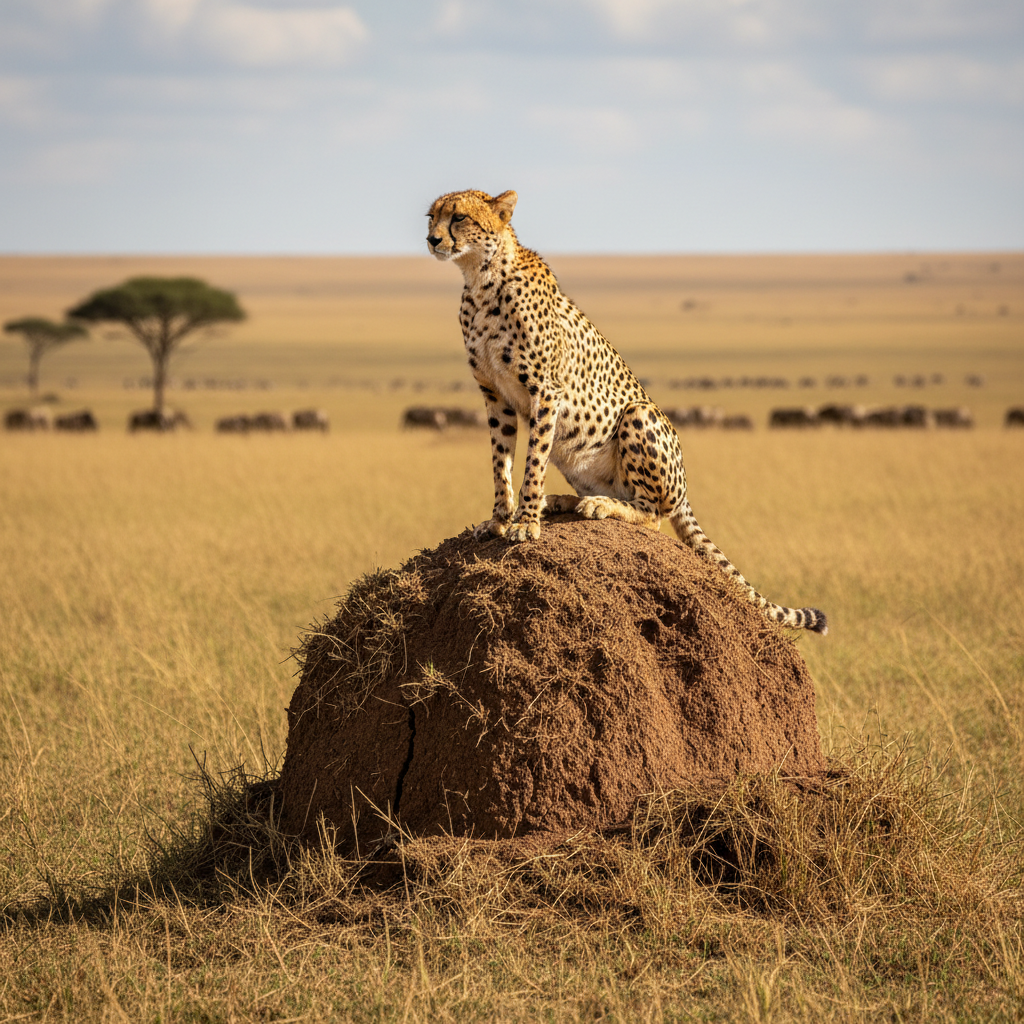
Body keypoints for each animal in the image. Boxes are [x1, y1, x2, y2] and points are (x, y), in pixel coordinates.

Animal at [426, 188, 828, 634]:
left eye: (459, 217)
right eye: (431, 217)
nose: (432, 239)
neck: (480, 280)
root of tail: (684, 491)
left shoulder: (546, 392)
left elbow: (532, 463)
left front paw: (526, 521)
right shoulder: (494, 394)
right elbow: (502, 464)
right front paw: (499, 519)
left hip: (638, 414)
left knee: (650, 514)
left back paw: (597, 506)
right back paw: (564, 501)